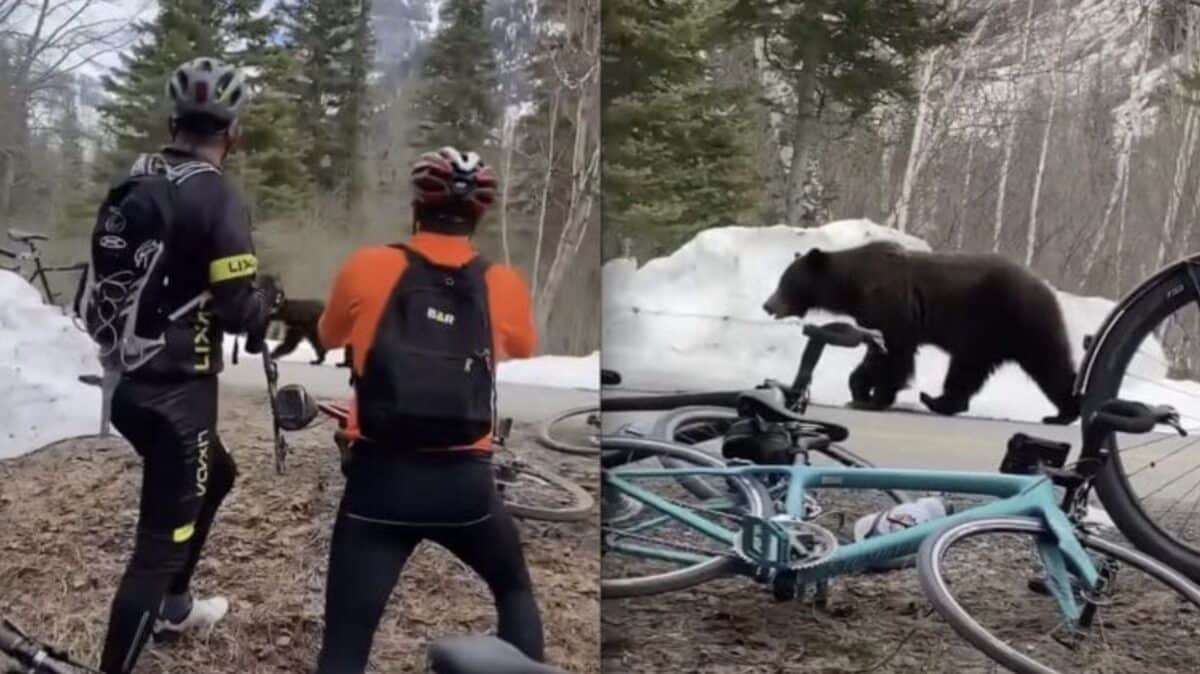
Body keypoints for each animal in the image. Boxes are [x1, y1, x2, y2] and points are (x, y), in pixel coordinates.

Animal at [761, 241, 1079, 425]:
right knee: (971, 371)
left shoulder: (893, 308)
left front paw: (877, 397)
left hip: (1013, 320)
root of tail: (1046, 287)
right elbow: (875, 353)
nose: (767, 304)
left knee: (1048, 362)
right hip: (990, 336)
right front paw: (859, 391)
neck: (853, 286)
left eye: (785, 281)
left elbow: (896, 355)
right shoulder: (872, 316)